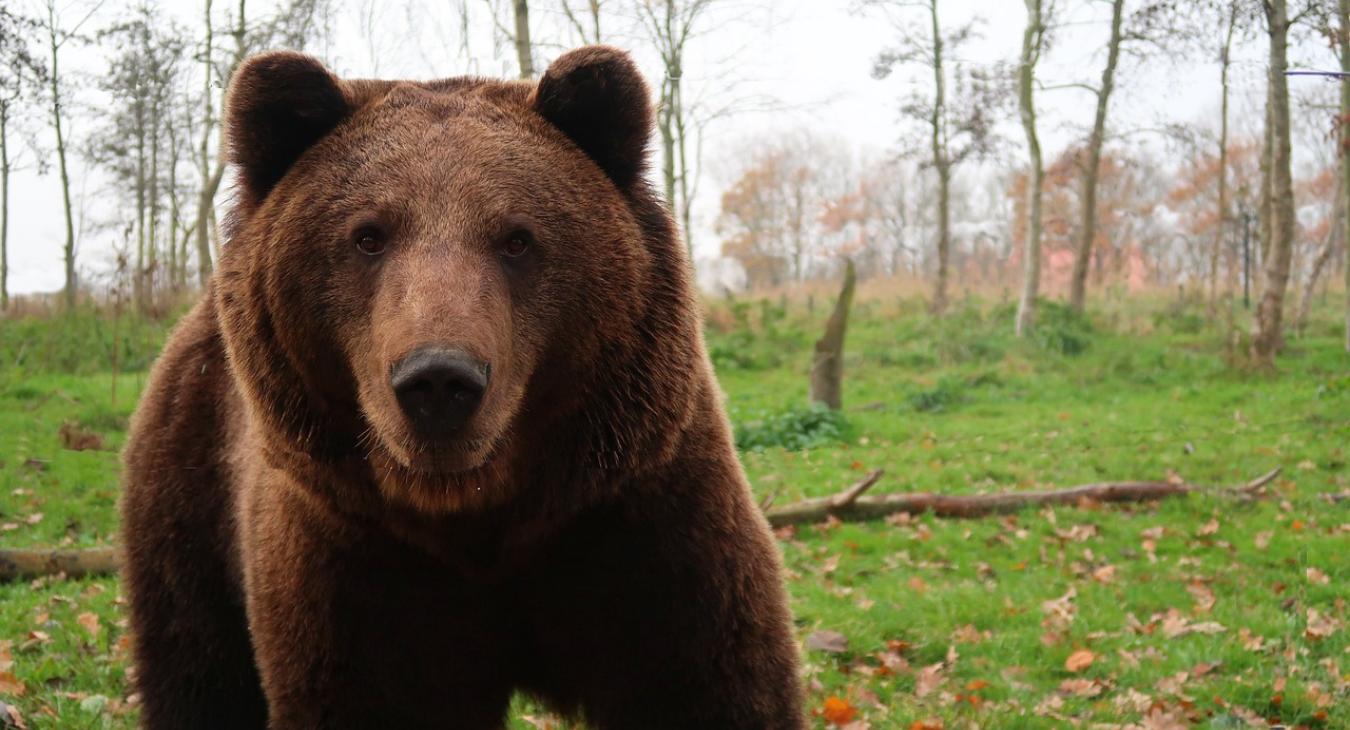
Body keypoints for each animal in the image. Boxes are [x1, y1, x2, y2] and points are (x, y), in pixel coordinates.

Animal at [118, 46, 799, 728]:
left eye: (517, 238)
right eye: (368, 235)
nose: (439, 380)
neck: (477, 519)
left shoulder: (639, 526)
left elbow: (710, 682)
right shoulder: (358, 568)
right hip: (192, 493)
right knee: (199, 669)